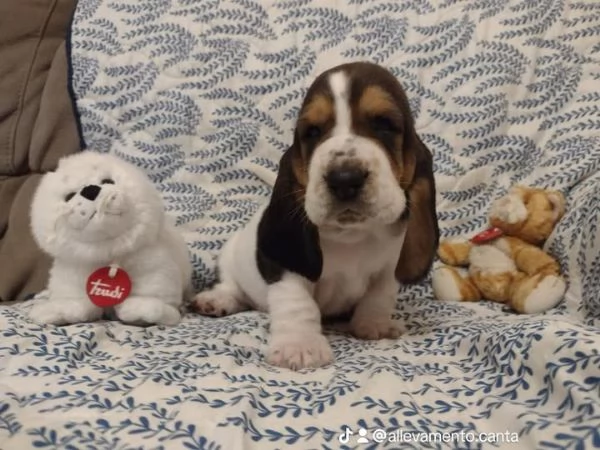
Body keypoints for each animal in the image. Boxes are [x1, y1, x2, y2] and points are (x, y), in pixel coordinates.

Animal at [195, 60, 438, 370]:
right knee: (231, 285)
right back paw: (217, 300)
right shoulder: (286, 266)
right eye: (312, 132)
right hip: (230, 254)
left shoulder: (389, 267)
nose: (344, 179)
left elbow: (380, 295)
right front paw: (299, 346)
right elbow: (298, 302)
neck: (352, 236)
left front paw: (375, 325)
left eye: (384, 124)